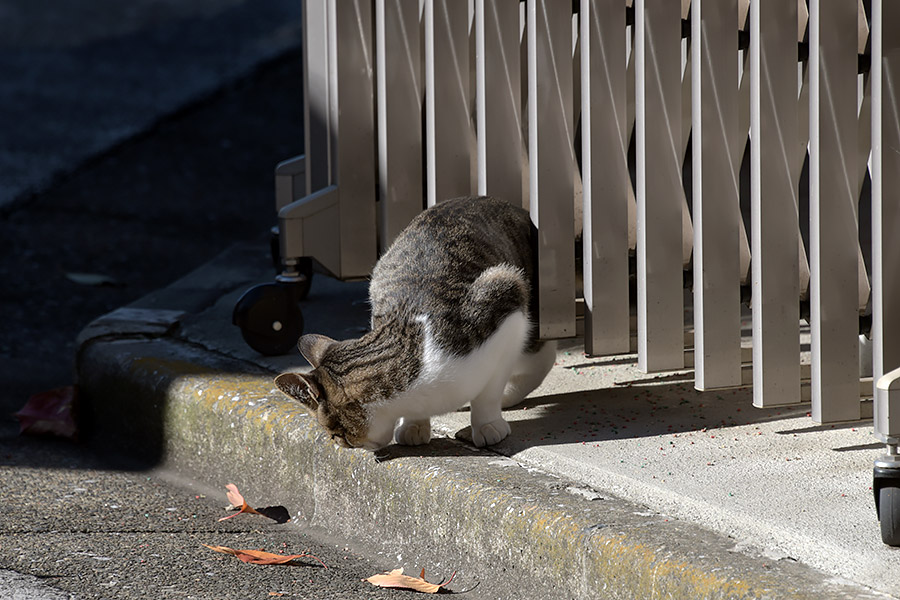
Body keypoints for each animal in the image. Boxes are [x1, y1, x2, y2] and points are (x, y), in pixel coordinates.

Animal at [274, 197, 556, 450]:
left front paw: (487, 424)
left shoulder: (505, 302)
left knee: (538, 359)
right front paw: (413, 425)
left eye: (335, 433)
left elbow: (490, 389)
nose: (342, 445)